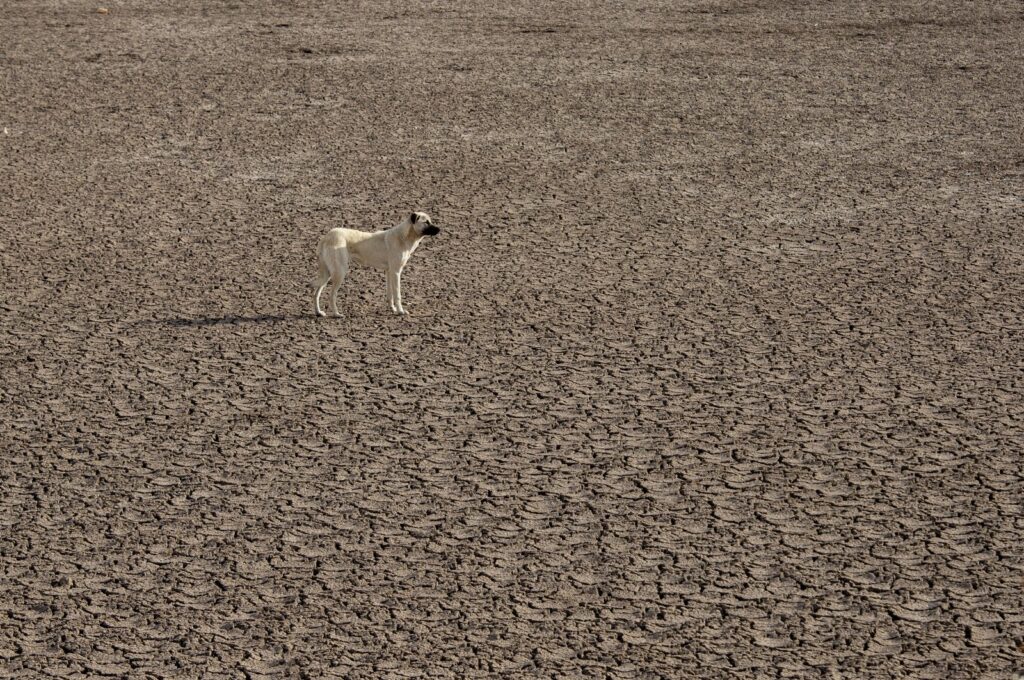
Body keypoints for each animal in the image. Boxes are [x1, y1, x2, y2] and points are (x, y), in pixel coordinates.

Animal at [311, 210, 440, 317]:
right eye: (426, 222)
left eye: (430, 221)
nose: (440, 229)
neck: (404, 237)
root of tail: (327, 236)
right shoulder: (396, 272)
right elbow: (397, 294)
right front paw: (400, 311)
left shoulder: (389, 272)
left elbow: (390, 294)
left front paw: (393, 309)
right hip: (340, 272)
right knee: (331, 295)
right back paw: (336, 314)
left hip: (328, 273)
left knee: (316, 292)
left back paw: (318, 312)